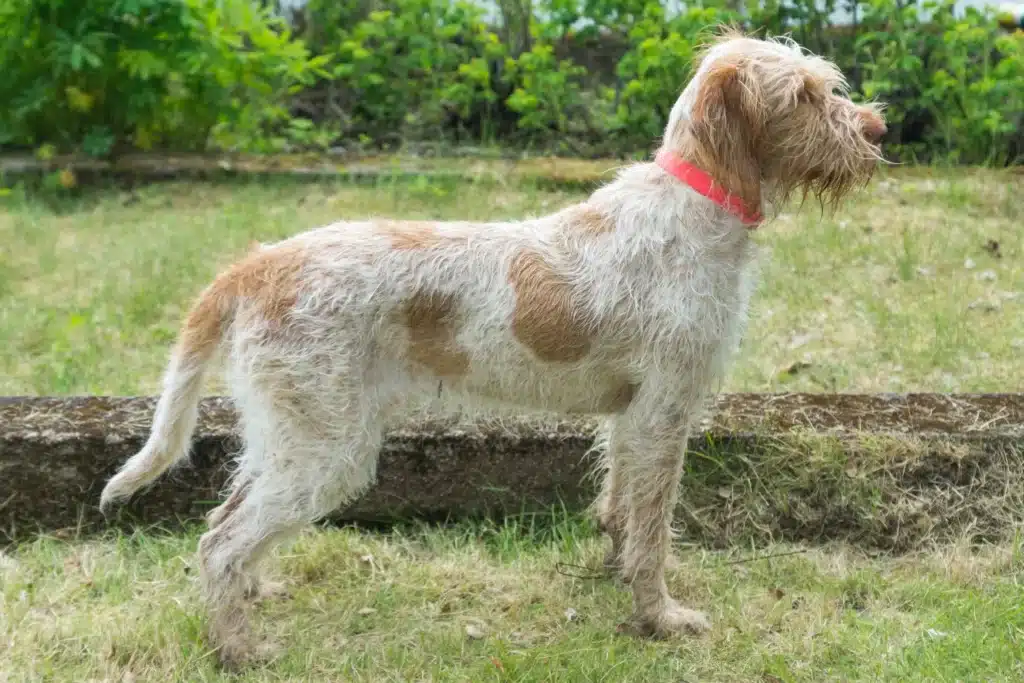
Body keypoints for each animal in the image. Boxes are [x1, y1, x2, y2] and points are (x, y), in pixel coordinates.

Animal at [105, 30, 888, 667]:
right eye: (803, 94)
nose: (877, 126)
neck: (696, 202)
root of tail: (258, 264)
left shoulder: (629, 417)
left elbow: (619, 509)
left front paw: (616, 578)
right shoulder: (663, 413)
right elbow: (652, 531)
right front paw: (659, 617)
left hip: (287, 436)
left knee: (226, 520)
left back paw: (255, 594)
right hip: (328, 448)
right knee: (219, 543)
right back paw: (237, 650)